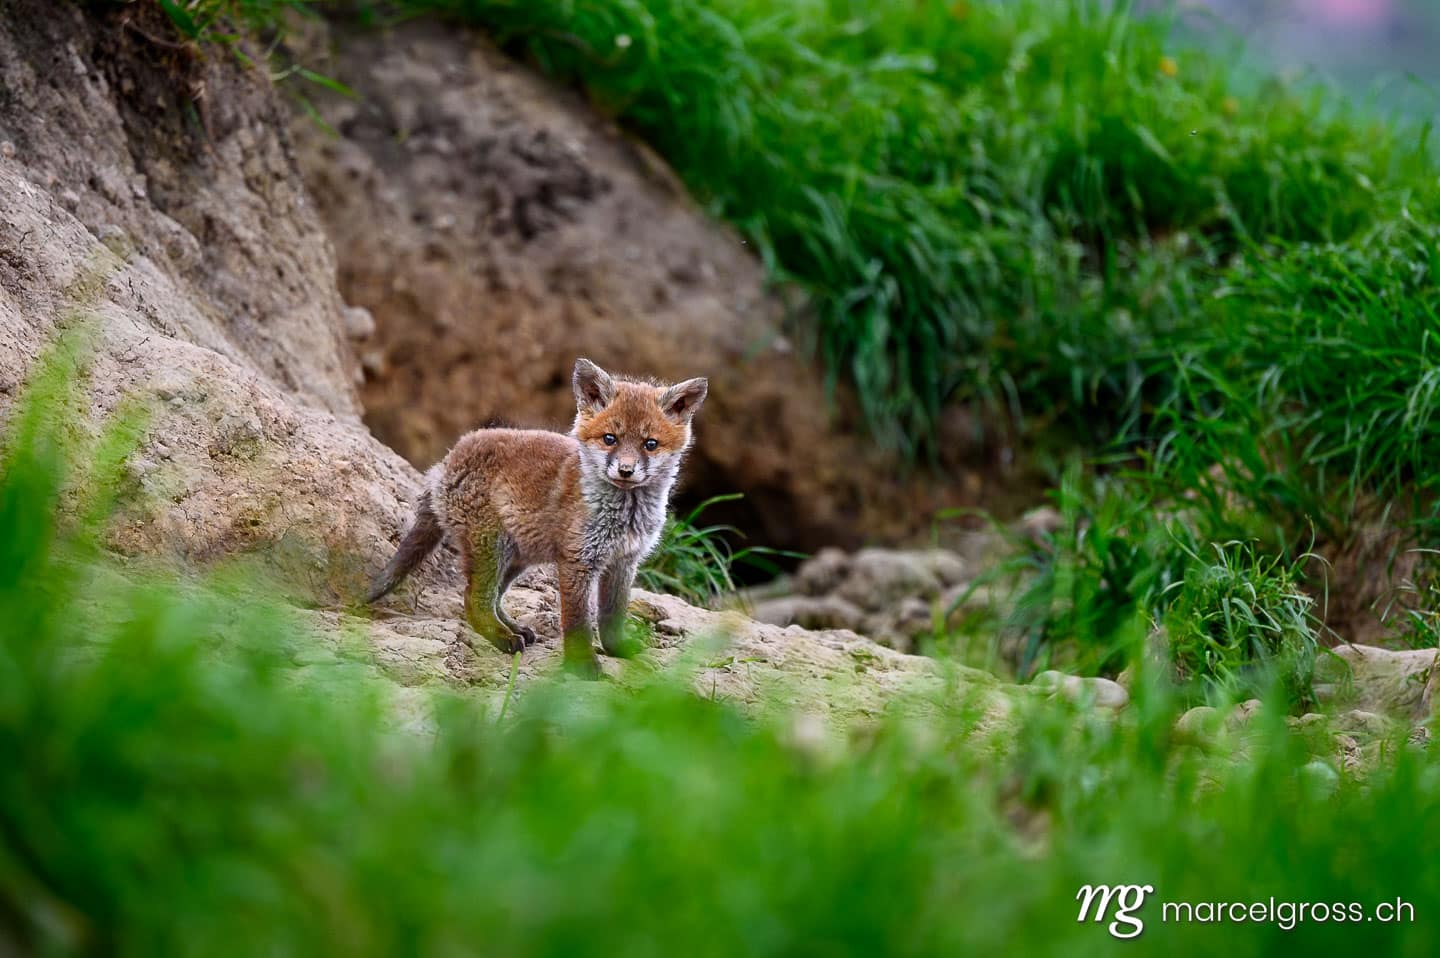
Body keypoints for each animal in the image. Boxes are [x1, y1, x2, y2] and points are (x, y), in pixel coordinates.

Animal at [366, 358, 708, 678]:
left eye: (650, 445)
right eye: (610, 439)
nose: (625, 470)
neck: (624, 515)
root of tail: (448, 459)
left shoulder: (624, 561)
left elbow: (612, 617)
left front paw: (618, 651)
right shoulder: (578, 561)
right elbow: (578, 622)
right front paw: (582, 665)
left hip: (518, 557)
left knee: (491, 599)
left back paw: (513, 627)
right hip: (493, 548)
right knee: (473, 601)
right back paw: (502, 636)